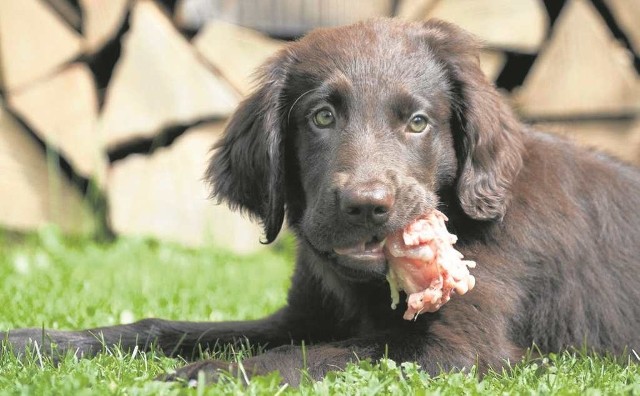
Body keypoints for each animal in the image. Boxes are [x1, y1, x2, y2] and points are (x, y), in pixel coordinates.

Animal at [1, 18, 640, 384]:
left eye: (417, 122)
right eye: (322, 117)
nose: (367, 205)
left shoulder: (461, 349)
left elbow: (326, 352)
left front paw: (211, 373)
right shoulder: (298, 316)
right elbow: (170, 327)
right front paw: (40, 342)